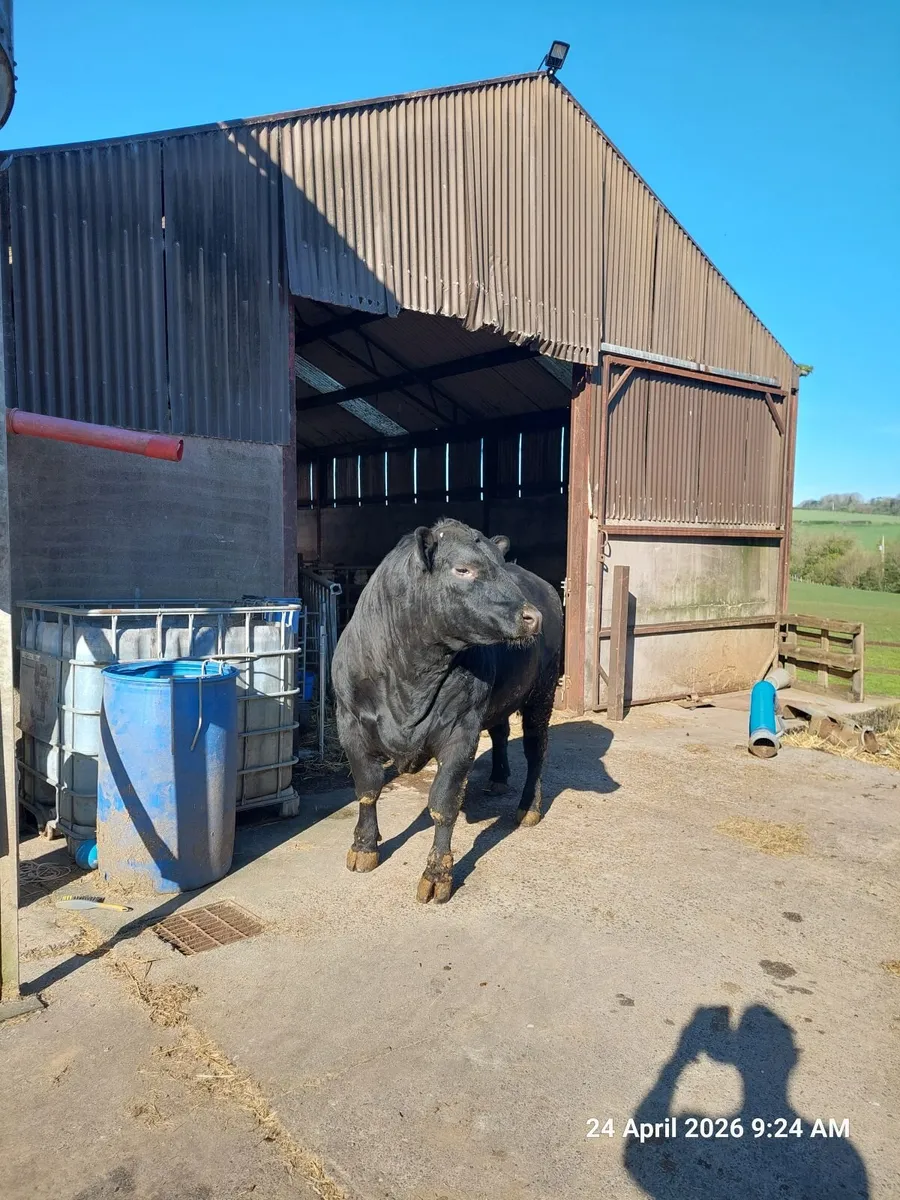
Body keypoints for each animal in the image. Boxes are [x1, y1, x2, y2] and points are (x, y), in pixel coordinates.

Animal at [331, 518, 563, 903]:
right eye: (463, 569)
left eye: (502, 568)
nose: (533, 617)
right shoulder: (350, 724)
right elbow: (367, 788)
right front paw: (364, 847)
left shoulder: (461, 732)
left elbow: (443, 804)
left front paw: (437, 875)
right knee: (501, 732)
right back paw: (498, 778)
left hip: (542, 693)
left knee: (536, 749)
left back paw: (528, 808)